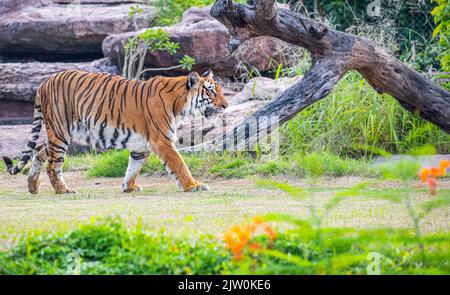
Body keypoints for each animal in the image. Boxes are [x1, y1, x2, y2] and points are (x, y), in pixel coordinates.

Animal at [2, 69, 229, 194]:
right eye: (211, 91)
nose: (226, 105)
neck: (181, 105)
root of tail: (44, 82)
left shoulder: (141, 146)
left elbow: (133, 168)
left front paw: (128, 187)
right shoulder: (162, 141)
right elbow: (180, 166)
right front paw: (194, 186)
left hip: (60, 134)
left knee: (39, 150)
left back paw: (32, 186)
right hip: (60, 132)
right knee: (53, 165)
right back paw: (62, 190)